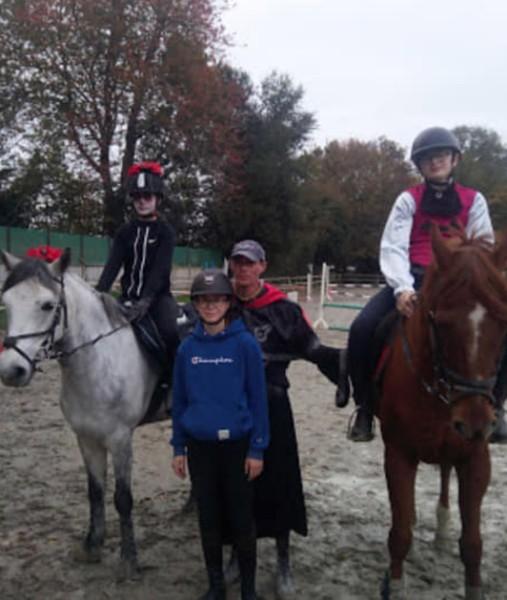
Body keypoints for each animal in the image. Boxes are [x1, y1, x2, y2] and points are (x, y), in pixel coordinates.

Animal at [382, 230, 507, 600]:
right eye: (441, 322)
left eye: (502, 322)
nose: (476, 422)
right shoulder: (398, 454)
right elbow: (400, 534)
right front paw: (396, 586)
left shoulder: (476, 457)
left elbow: (473, 543)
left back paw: (441, 527)